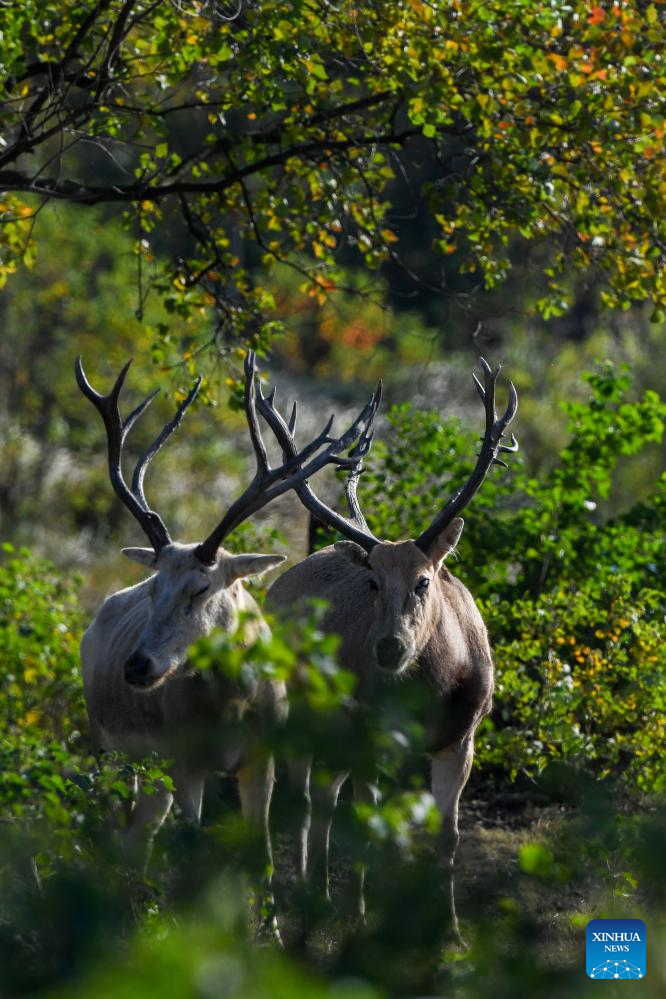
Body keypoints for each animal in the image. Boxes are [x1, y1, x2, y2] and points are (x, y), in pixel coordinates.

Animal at [74, 350, 376, 876]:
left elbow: (261, 857)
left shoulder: (262, 760)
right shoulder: (184, 761)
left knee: (139, 832)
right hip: (107, 745)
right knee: (120, 825)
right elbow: (190, 850)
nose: (137, 666)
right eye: (155, 588)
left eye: (201, 587)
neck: (232, 708)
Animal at [256, 362, 516, 944]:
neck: (430, 696)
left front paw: (452, 932)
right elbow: (370, 827)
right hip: (302, 714)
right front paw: (363, 919)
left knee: (323, 800)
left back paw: (321, 896)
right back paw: (312, 901)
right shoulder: (369, 739)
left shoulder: (462, 738)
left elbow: (447, 836)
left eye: (424, 580)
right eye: (373, 582)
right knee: (307, 802)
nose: (390, 646)